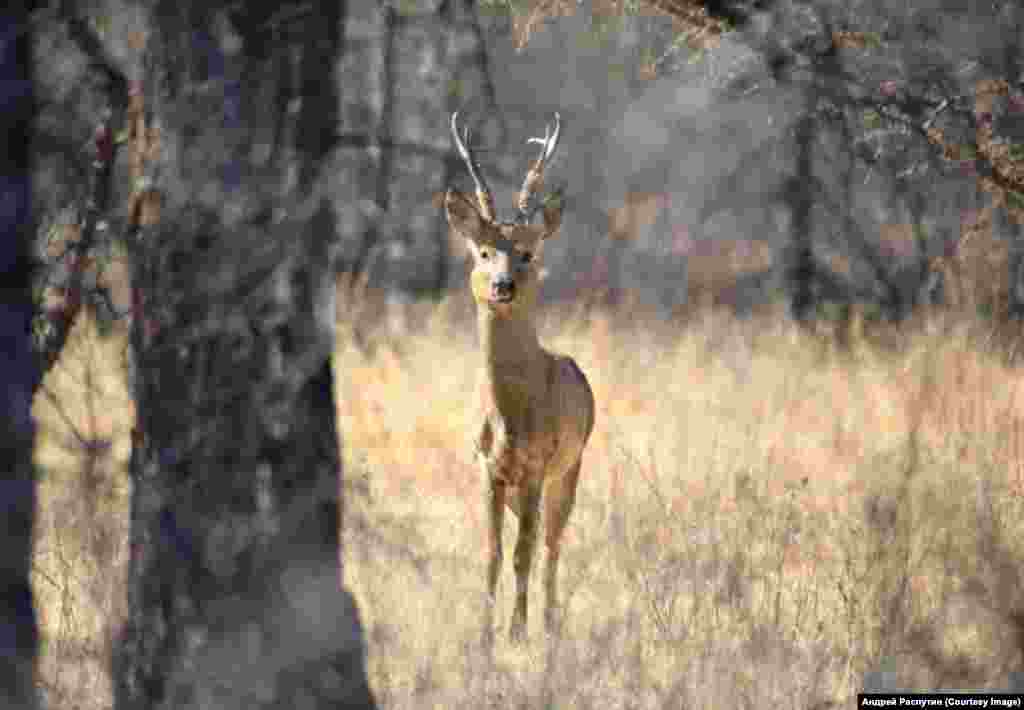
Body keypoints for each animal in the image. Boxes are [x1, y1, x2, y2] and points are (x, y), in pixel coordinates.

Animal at [446, 112, 598, 643]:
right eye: (483, 251)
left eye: (528, 253)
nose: (503, 285)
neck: (511, 419)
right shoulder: (488, 469)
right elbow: (491, 554)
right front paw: (484, 634)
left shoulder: (537, 464)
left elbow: (522, 553)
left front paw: (516, 631)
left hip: (570, 467)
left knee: (552, 544)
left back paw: (550, 621)